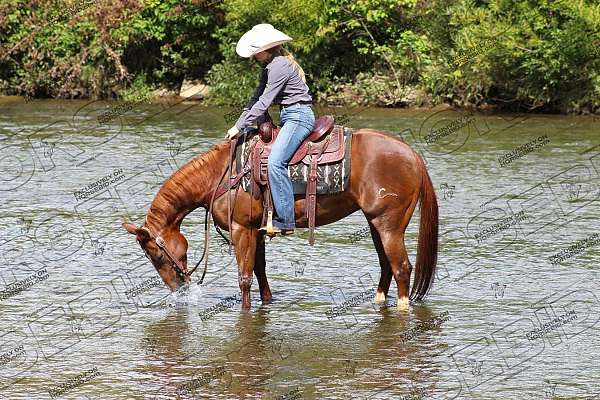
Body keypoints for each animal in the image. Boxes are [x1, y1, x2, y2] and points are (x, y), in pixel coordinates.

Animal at [123, 130, 440, 310]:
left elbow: (244, 277)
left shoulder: (241, 229)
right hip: (375, 224)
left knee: (401, 268)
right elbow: (260, 270)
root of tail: (414, 155)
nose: (179, 291)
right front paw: (267, 302)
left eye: (155, 256)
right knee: (386, 266)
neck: (220, 176)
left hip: (389, 225)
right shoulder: (257, 230)